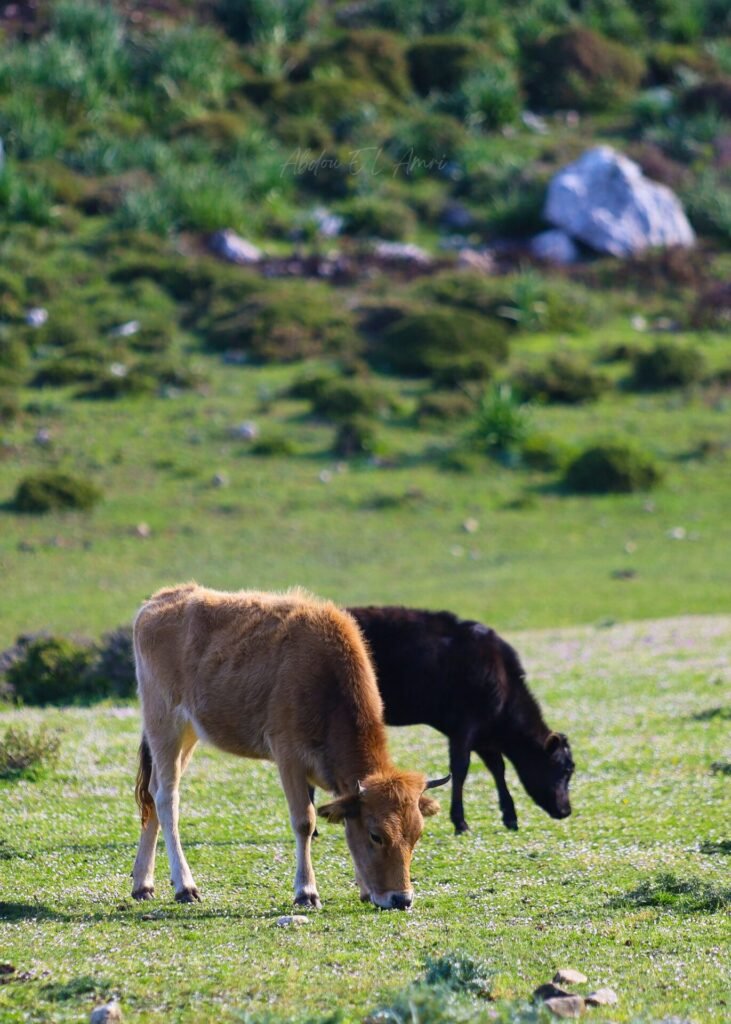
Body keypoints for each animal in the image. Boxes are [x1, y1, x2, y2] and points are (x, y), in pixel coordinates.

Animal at [131, 584, 449, 911]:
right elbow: (304, 821)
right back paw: (185, 887)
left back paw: (143, 884)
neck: (326, 681)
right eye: (377, 835)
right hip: (165, 726)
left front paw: (362, 889)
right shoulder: (289, 758)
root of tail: (158, 601)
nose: (402, 898)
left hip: (188, 736)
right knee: (166, 797)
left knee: (153, 793)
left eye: (417, 834)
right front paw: (306, 892)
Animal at [346, 606, 574, 834]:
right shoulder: (465, 727)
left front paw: (510, 817)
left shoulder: (484, 735)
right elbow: (460, 768)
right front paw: (460, 822)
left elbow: (497, 768)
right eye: (565, 770)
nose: (566, 811)